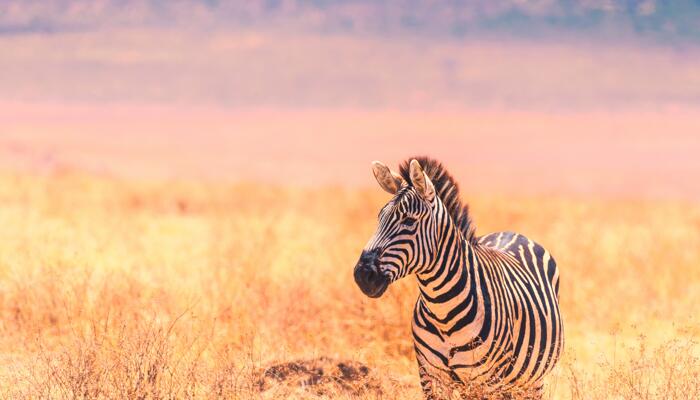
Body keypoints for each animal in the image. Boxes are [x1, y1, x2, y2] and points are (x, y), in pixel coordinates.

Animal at [352, 157, 560, 400]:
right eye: (379, 218)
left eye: (409, 221)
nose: (362, 274)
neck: (442, 312)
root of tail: (512, 232)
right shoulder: (431, 377)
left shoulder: (489, 381)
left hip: (530, 381)